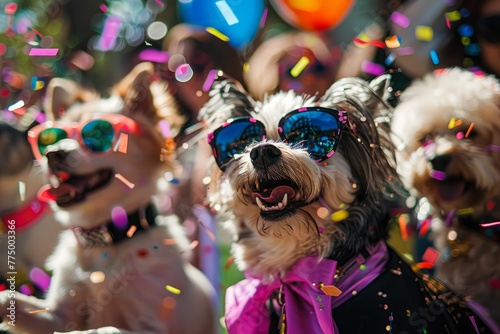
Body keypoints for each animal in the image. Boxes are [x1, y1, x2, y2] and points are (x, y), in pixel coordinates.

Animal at [0, 62, 216, 332]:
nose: (53, 154)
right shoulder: (59, 314)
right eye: (52, 138)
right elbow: (12, 299)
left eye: (99, 135)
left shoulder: (151, 324)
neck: (104, 242)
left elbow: (107, 328)